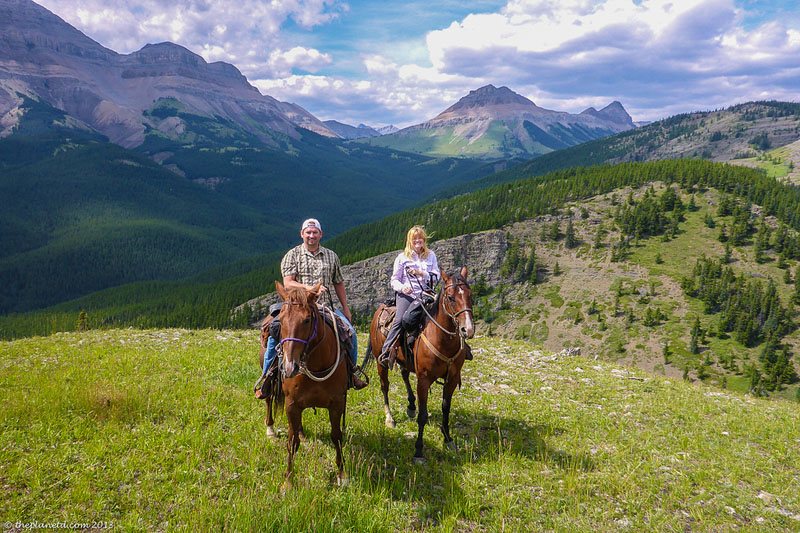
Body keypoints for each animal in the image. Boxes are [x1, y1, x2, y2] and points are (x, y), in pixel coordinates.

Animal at [264, 282, 348, 486]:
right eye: (281, 319)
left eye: (307, 320)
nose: (289, 367)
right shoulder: (291, 404)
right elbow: (292, 442)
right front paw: (288, 481)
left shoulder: (337, 404)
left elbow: (337, 437)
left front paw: (342, 475)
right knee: (268, 399)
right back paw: (270, 428)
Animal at [370, 266, 476, 462]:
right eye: (451, 297)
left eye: (470, 295)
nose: (468, 330)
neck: (442, 339)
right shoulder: (424, 380)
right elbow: (422, 416)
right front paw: (418, 450)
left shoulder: (452, 378)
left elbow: (446, 409)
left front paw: (448, 439)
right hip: (381, 362)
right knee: (384, 386)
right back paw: (389, 418)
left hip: (404, 360)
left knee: (404, 375)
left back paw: (411, 406)